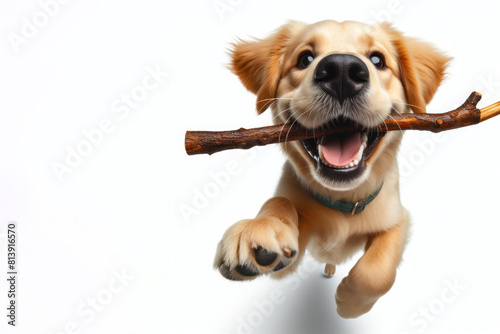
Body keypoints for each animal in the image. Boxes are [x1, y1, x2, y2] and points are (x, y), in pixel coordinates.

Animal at [211, 19, 450, 318]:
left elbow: (377, 273)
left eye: (377, 60)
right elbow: (279, 201)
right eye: (305, 59)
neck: (343, 200)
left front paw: (349, 305)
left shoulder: (398, 219)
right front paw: (260, 229)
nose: (342, 72)